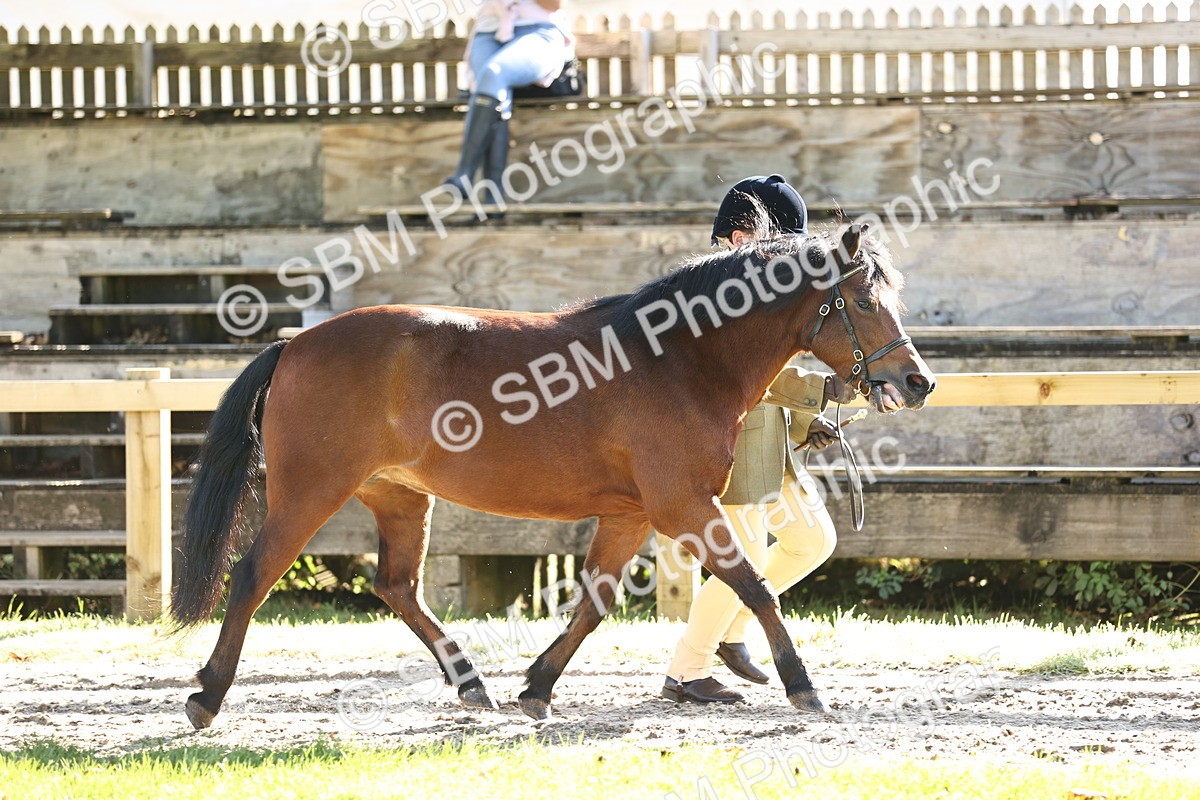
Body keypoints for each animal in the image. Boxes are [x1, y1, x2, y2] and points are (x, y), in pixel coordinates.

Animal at [171, 223, 936, 729]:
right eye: (865, 302)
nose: (917, 381)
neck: (677, 359)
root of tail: (295, 342)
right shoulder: (683, 506)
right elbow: (754, 585)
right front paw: (804, 687)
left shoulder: (631, 515)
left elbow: (593, 605)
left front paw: (536, 686)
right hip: (310, 493)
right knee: (253, 575)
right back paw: (207, 696)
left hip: (399, 498)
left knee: (397, 587)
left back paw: (472, 684)